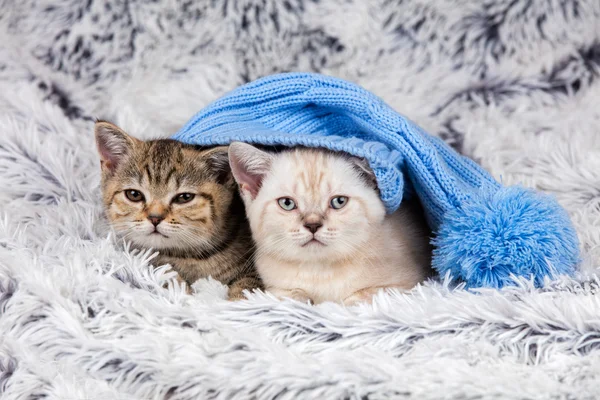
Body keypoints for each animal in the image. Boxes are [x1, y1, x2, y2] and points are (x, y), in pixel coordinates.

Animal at [94, 122, 260, 300]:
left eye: (184, 197)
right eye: (134, 195)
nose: (154, 218)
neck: (189, 255)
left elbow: (250, 286)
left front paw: (239, 300)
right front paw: (178, 288)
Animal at [226, 142, 432, 304]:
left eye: (338, 202)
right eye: (287, 203)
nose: (313, 225)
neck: (319, 272)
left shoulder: (407, 284)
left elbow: (359, 297)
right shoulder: (274, 285)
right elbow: (290, 294)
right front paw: (302, 298)